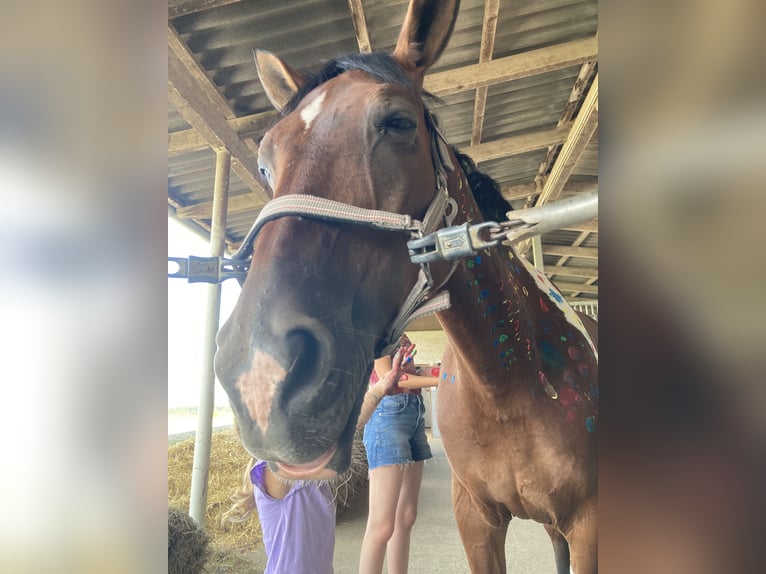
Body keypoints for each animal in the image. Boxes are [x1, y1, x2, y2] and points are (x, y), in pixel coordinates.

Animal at [213, 2, 596, 572]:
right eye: (264, 163)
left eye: (397, 122)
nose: (260, 378)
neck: (509, 387)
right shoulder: (476, 518)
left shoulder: (590, 524)